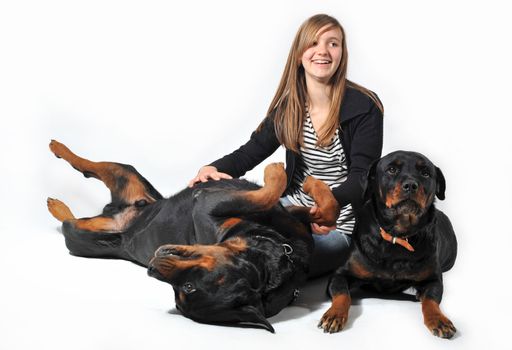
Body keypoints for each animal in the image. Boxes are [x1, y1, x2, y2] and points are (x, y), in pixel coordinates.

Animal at [46, 140, 338, 334]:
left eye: (186, 289)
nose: (151, 268)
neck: (279, 249)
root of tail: (122, 222)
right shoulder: (210, 203)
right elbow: (286, 199)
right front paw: (290, 176)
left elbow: (319, 211)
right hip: (126, 179)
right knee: (88, 168)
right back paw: (57, 157)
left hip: (89, 227)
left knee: (76, 204)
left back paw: (56, 202)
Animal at [318, 151, 458, 340]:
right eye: (391, 169)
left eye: (425, 173)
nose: (411, 185)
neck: (397, 235)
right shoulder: (340, 274)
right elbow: (342, 293)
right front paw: (334, 314)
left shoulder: (433, 279)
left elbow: (431, 300)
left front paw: (439, 319)